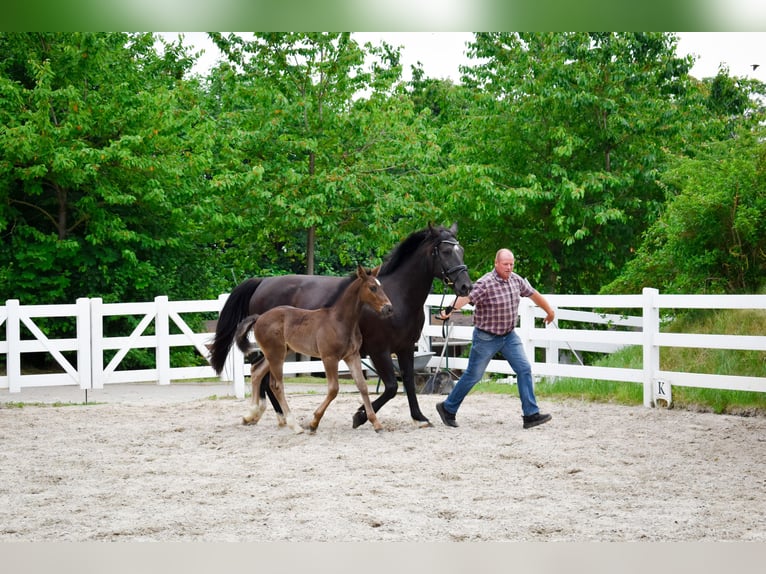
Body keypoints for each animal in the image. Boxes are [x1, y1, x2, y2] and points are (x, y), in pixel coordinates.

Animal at [233, 265, 393, 433]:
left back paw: (250, 415)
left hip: (278, 353)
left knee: (256, 371)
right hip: (276, 354)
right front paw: (314, 422)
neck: (340, 321)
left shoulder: (352, 356)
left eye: (381, 286)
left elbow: (362, 386)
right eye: (372, 287)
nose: (388, 308)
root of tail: (259, 317)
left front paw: (376, 423)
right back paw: (294, 425)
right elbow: (333, 389)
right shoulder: (329, 358)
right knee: (276, 385)